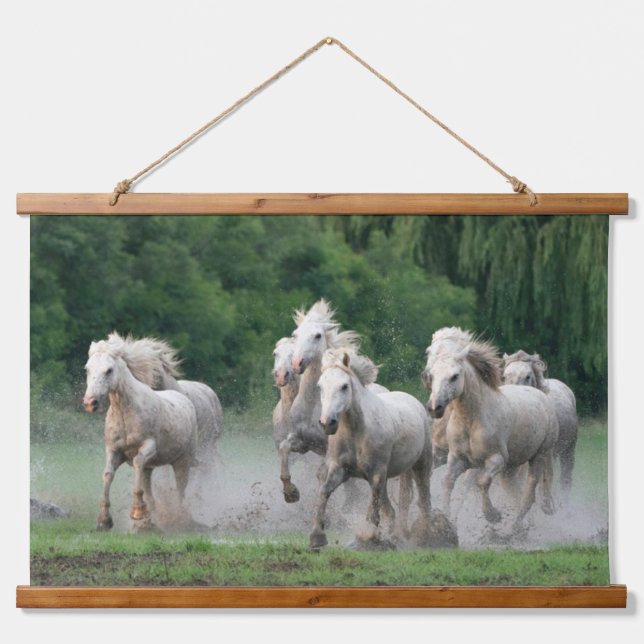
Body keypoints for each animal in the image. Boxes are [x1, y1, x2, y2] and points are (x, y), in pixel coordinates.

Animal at [83, 339, 198, 531]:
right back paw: (150, 520)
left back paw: (177, 520)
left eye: (109, 370)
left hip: (183, 461)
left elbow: (137, 462)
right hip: (150, 467)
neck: (125, 412)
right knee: (149, 486)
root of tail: (184, 399)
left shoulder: (148, 447)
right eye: (87, 369)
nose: (90, 402)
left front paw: (137, 512)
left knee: (180, 490)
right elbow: (107, 474)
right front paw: (104, 521)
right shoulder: (113, 451)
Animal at [310, 349, 433, 549]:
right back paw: (393, 537)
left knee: (424, 499)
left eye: (344, 386)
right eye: (320, 386)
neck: (356, 432)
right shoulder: (340, 469)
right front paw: (316, 537)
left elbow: (373, 508)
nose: (327, 423)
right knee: (393, 510)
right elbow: (324, 491)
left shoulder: (376, 474)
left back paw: (427, 536)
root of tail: (412, 400)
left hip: (422, 464)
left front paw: (367, 538)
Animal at [423, 327, 558, 528]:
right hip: (513, 468)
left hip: (539, 456)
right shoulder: (456, 458)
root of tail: (539, 393)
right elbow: (448, 482)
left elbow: (482, 482)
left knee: (528, 495)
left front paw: (493, 515)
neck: (471, 420)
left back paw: (516, 528)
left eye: (455, 376)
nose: (434, 407)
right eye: (433, 375)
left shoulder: (497, 460)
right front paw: (443, 520)